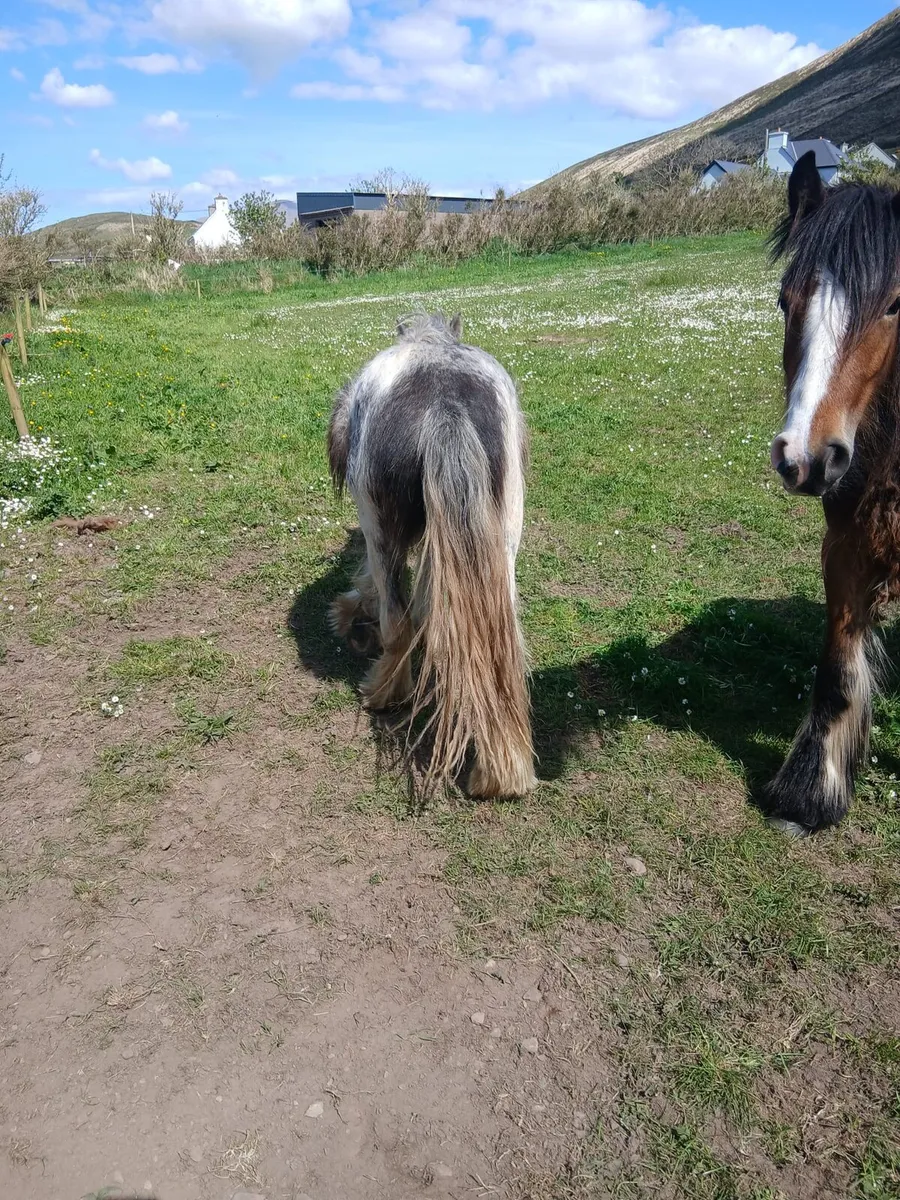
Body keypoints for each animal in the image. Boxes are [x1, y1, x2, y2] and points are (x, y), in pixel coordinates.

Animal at [326, 312, 537, 799]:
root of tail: (445, 404)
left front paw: (348, 610)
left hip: (380, 527)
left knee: (396, 621)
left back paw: (383, 692)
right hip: (503, 535)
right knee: (500, 645)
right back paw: (503, 774)